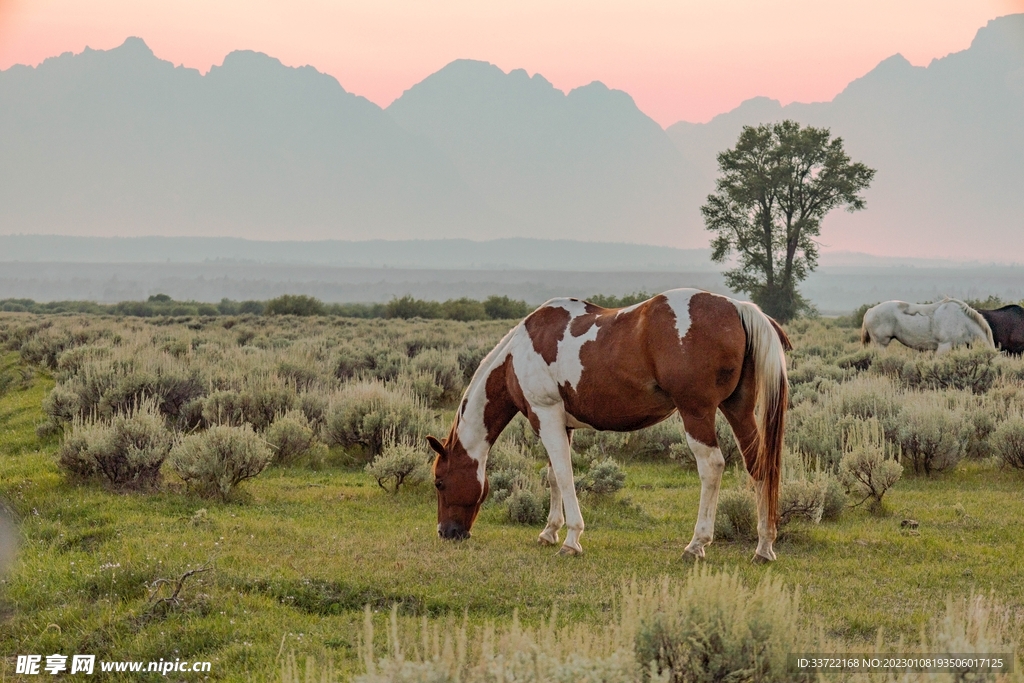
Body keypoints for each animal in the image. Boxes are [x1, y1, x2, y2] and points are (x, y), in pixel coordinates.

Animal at [426, 289, 791, 563]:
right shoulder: (561, 425)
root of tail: (736, 307)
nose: (447, 533)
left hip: (696, 412)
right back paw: (764, 547)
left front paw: (571, 539)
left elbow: (565, 475)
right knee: (758, 466)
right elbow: (553, 476)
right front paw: (549, 531)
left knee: (712, 466)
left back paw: (696, 545)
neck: (518, 354)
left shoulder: (546, 416)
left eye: (439, 483)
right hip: (739, 409)